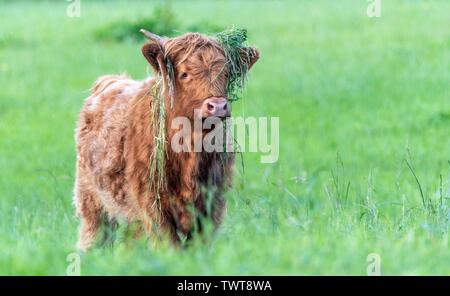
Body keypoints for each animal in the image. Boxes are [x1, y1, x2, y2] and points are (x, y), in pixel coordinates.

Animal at [72, 28, 258, 250]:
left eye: (227, 73)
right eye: (184, 74)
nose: (218, 106)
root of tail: (110, 81)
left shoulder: (213, 203)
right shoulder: (153, 205)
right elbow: (169, 246)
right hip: (91, 201)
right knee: (94, 236)